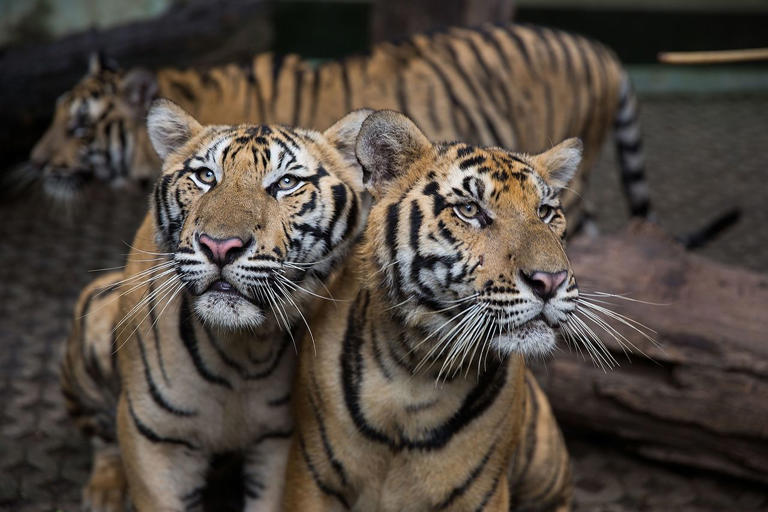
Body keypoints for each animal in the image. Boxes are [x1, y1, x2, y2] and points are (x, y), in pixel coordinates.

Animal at [59, 100, 373, 511]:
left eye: (286, 183)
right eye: (206, 176)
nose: (220, 246)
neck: (241, 351)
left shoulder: (279, 438)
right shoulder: (154, 437)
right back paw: (105, 492)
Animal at [283, 110, 582, 511]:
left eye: (546, 212)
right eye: (470, 210)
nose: (550, 281)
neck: (418, 371)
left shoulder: (482, 493)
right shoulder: (313, 477)